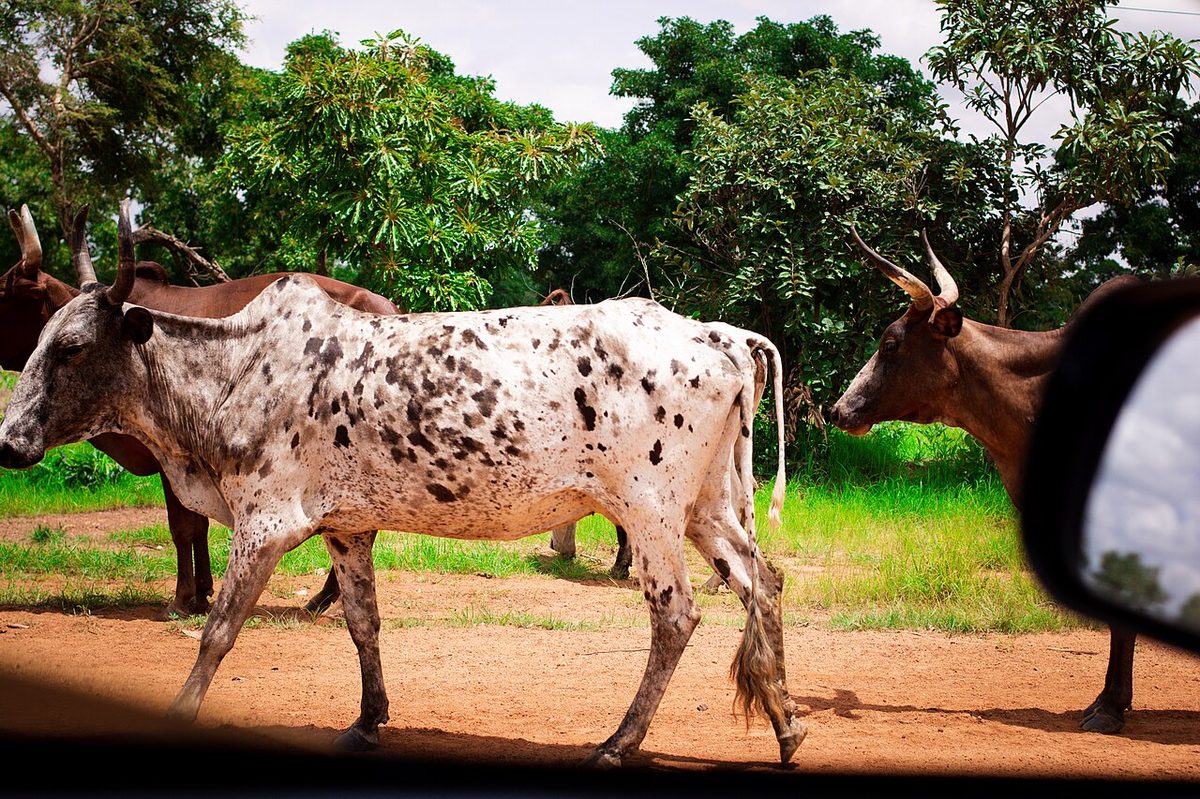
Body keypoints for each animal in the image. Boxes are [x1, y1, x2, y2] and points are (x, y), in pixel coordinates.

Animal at [1, 204, 399, 617]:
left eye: (3, 293)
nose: (10, 444)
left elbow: (183, 527)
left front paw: (181, 598)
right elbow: (197, 526)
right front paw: (202, 591)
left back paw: (326, 597)